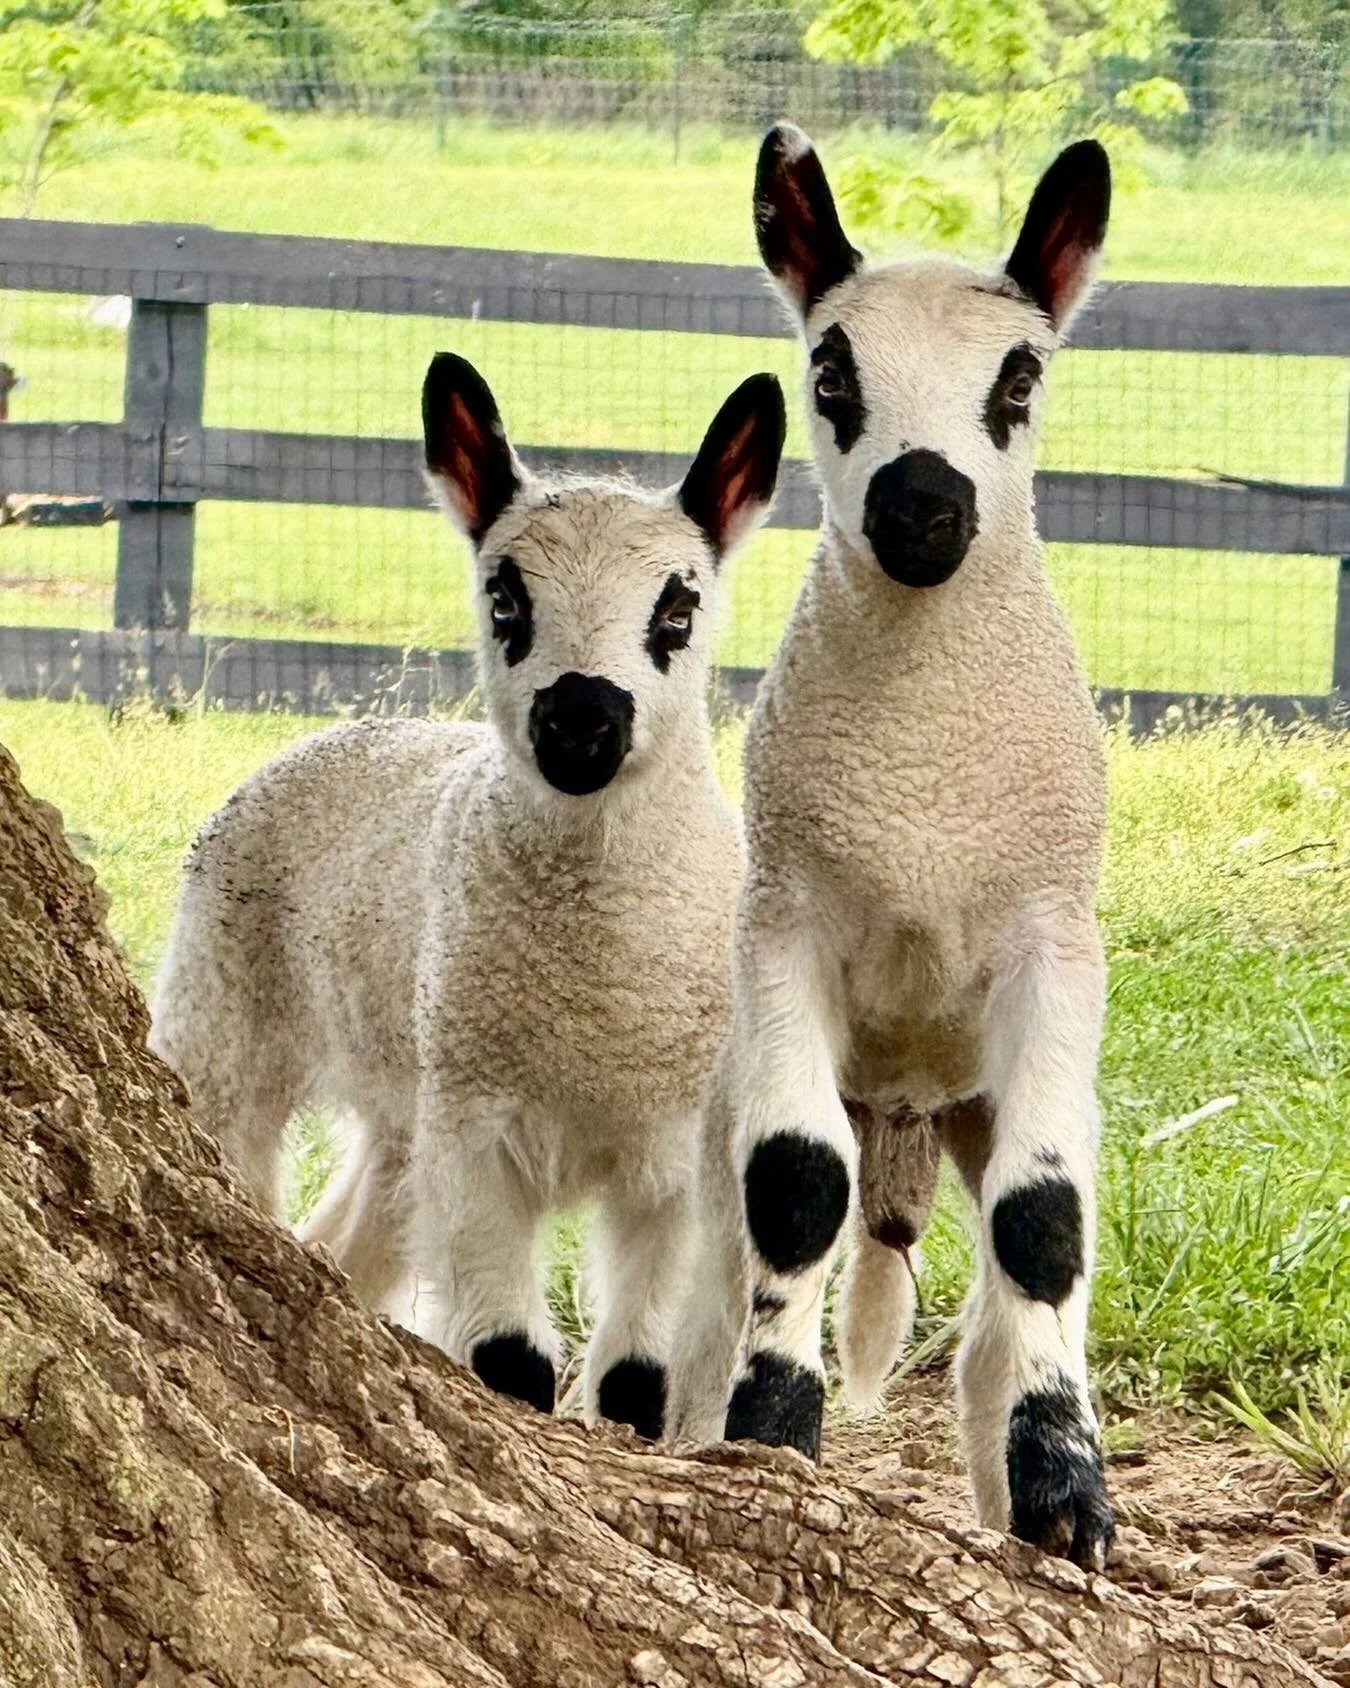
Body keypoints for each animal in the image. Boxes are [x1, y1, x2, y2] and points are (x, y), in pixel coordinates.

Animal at [150, 353, 786, 1437]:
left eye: (679, 608)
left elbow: (636, 1381)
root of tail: (341, 731)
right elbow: (511, 1361)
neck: (592, 995)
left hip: (408, 1096)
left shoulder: (674, 1152)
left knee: (351, 1235)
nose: (580, 721)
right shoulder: (478, 1126)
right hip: (228, 1010)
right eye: (503, 599)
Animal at [669, 128, 1116, 1569]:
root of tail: (913, 1114)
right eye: (830, 369)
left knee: (998, 1317)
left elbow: (1043, 1227)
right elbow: (796, 1188)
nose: (922, 507)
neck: (923, 779)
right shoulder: (780, 928)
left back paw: (1010, 1486)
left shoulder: (1053, 940)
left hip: (986, 1090)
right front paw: (769, 1439)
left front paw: (1067, 1499)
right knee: (708, 1291)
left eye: (1020, 376)